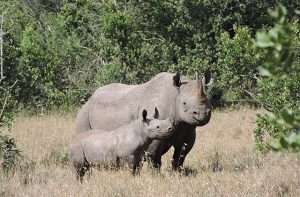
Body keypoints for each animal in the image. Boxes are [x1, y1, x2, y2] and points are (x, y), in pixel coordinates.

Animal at [74, 71, 211, 171]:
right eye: (184, 103)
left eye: (208, 100)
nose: (202, 114)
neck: (174, 95)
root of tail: (90, 98)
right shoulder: (154, 130)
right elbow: (154, 156)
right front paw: (155, 176)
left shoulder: (187, 128)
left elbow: (181, 155)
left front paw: (177, 174)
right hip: (84, 113)